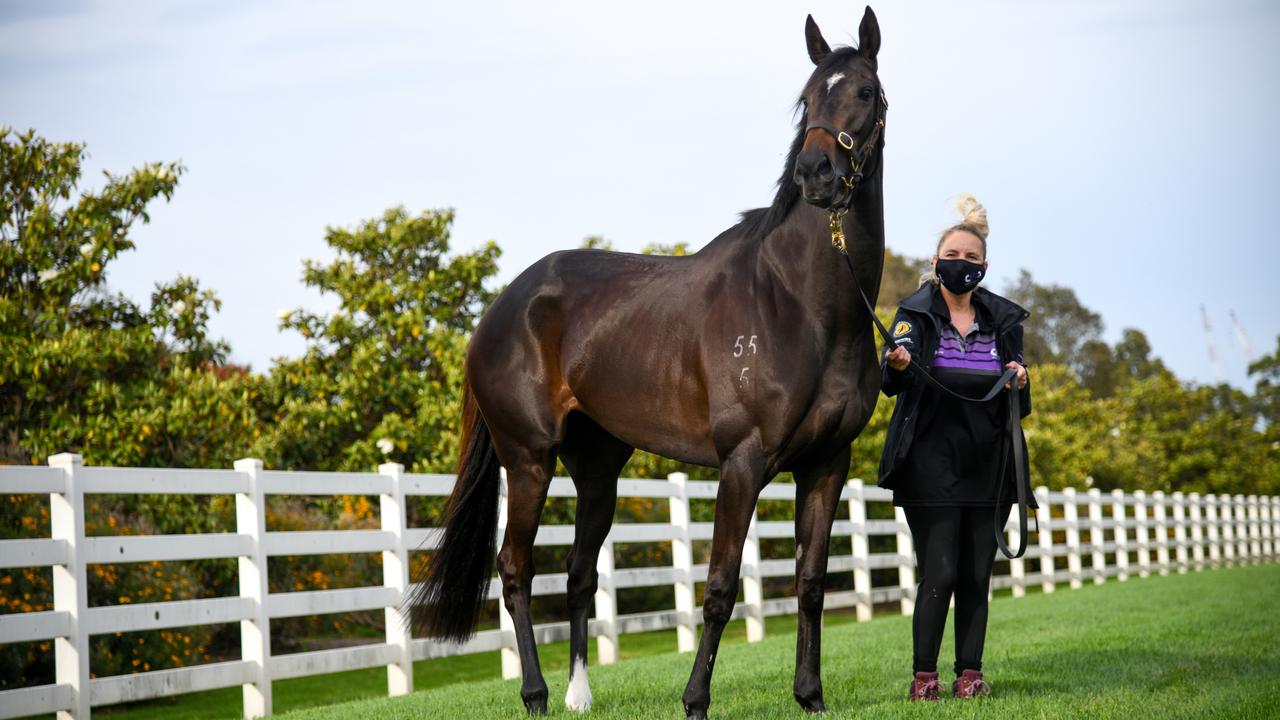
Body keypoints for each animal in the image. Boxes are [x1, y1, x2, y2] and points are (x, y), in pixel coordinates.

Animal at [412, 7, 890, 717]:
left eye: (862, 91)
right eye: (805, 100)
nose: (816, 173)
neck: (802, 304)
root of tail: (499, 309)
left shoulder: (828, 463)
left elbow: (810, 582)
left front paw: (810, 697)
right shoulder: (743, 463)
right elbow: (719, 588)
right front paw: (695, 700)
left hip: (597, 470)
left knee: (579, 576)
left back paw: (580, 695)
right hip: (528, 459)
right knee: (516, 570)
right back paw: (536, 693)